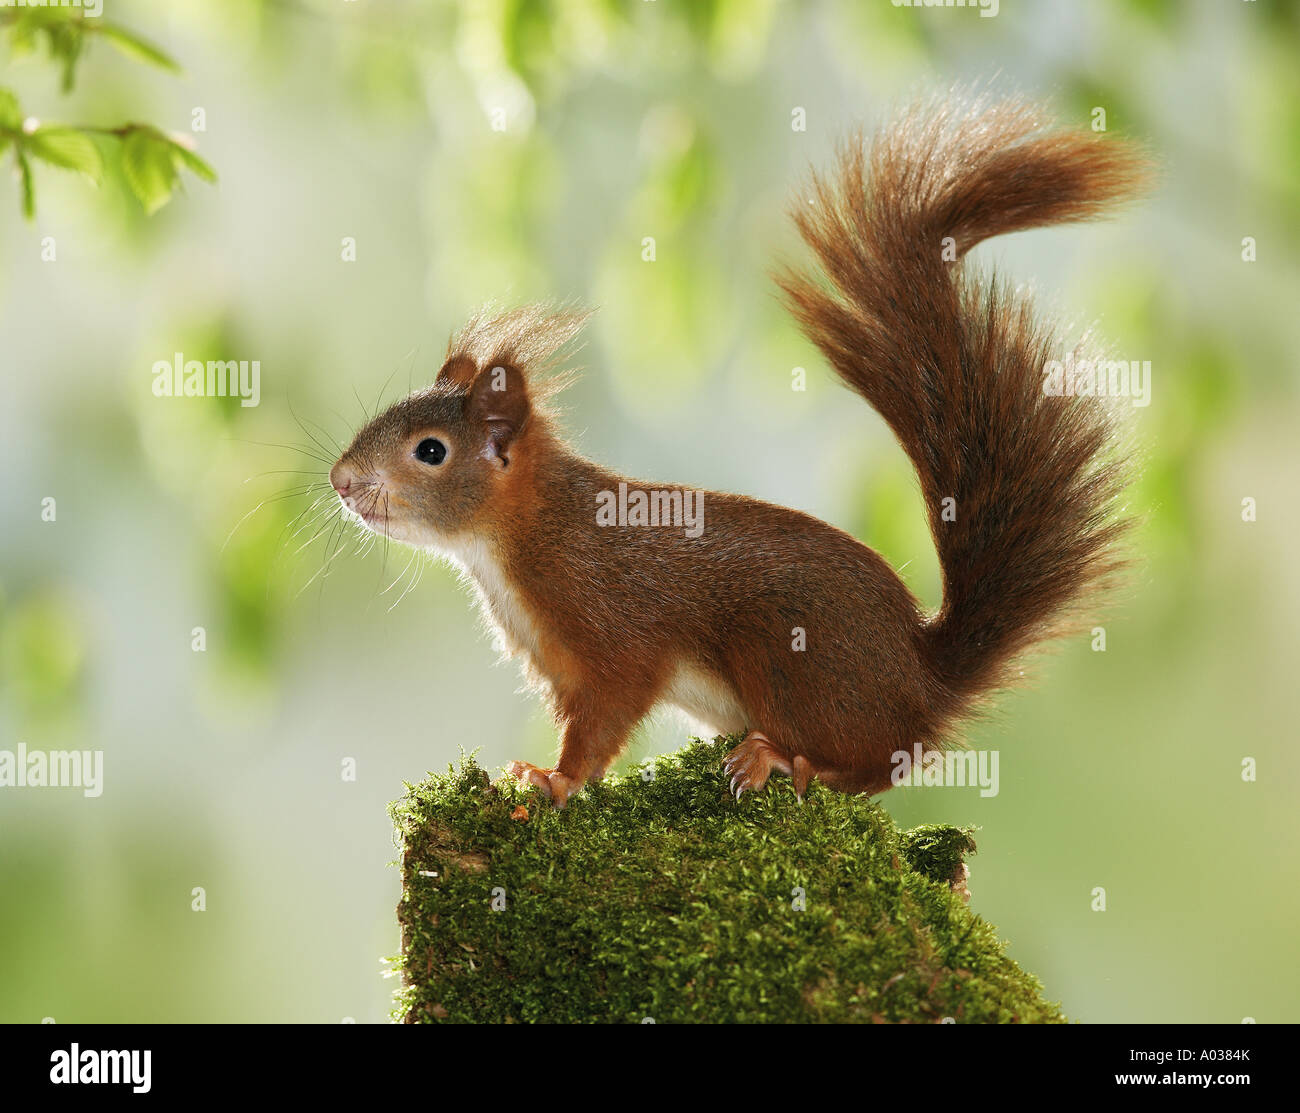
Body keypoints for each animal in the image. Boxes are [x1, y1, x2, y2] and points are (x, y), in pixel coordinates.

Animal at [329, 95, 1151, 808]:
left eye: (430, 450)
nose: (339, 480)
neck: (517, 540)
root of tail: (922, 683)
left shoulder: (614, 633)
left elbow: (603, 722)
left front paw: (552, 781)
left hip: (785, 655)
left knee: (873, 768)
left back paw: (781, 759)